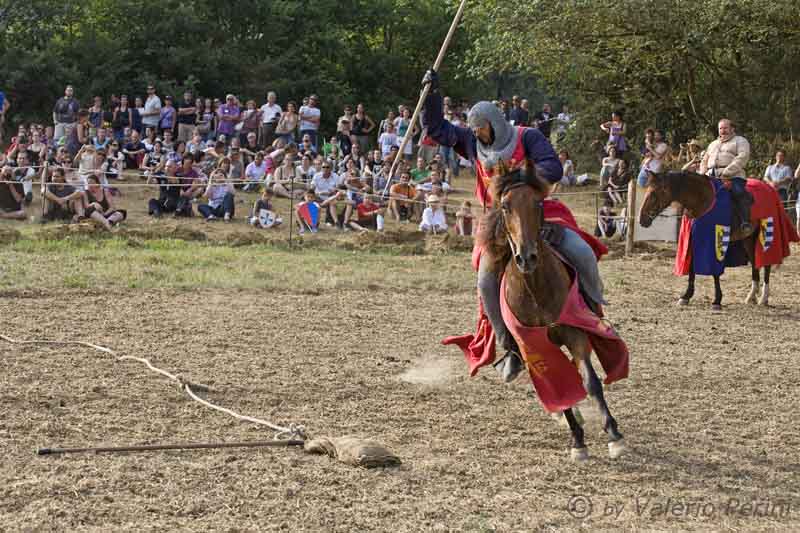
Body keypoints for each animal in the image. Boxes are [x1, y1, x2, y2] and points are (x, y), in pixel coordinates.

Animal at [478, 163, 628, 462]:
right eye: (505, 206)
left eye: (537, 203)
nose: (526, 257)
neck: (536, 291)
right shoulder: (535, 347)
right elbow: (559, 388)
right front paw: (577, 441)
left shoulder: (575, 335)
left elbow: (590, 382)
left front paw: (614, 435)